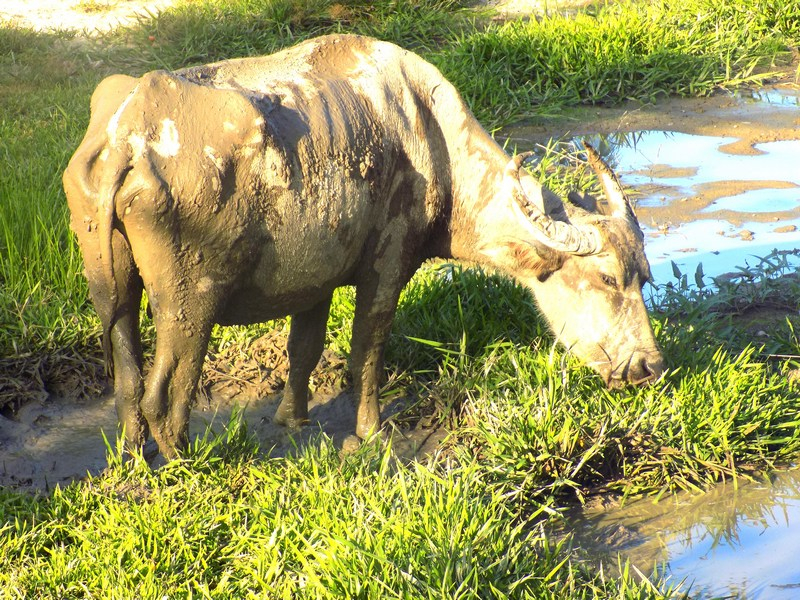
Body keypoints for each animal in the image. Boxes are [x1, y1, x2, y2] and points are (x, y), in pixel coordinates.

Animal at [64, 32, 664, 458]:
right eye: (607, 278)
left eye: (644, 277)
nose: (649, 366)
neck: (431, 141)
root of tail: (126, 136)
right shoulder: (388, 266)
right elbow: (367, 352)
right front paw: (369, 432)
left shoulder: (313, 281)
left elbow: (303, 349)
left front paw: (292, 419)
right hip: (191, 302)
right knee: (163, 390)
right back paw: (184, 458)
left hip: (109, 285)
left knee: (126, 375)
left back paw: (132, 455)